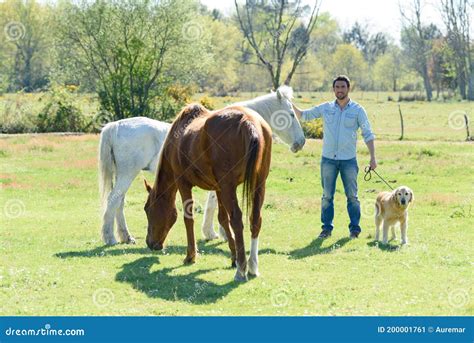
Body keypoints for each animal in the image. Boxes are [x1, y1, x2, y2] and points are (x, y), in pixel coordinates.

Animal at [97, 86, 304, 247]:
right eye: (291, 114)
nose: (301, 142)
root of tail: (115, 126)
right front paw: (218, 233)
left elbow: (214, 203)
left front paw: (214, 232)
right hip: (127, 174)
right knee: (114, 200)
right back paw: (110, 238)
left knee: (119, 202)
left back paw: (125, 236)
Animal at [143, 102, 272, 282]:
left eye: (147, 209)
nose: (150, 243)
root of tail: (248, 121)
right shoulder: (218, 188)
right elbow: (222, 219)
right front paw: (233, 256)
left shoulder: (184, 184)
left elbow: (188, 219)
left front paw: (190, 256)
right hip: (258, 184)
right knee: (255, 219)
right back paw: (252, 266)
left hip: (229, 187)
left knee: (237, 220)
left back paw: (241, 270)